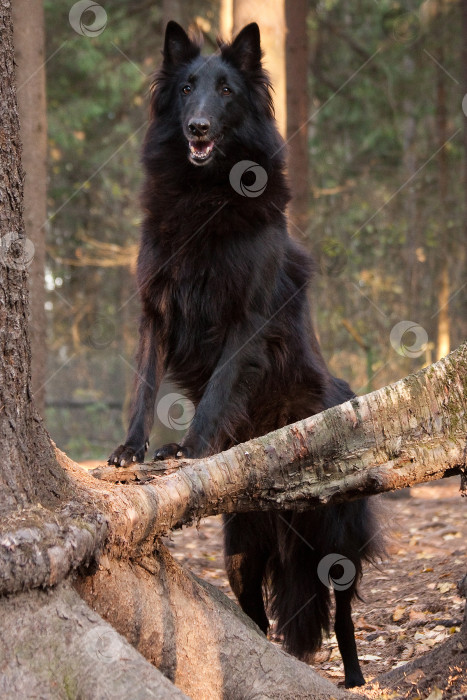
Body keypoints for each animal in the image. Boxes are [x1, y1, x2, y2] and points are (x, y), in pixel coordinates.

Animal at [110, 21, 384, 688]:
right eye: (187, 88)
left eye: (227, 91)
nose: (196, 128)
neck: (204, 193)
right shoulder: (155, 310)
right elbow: (143, 386)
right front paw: (132, 450)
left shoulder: (246, 319)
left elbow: (216, 389)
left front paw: (191, 447)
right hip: (240, 548)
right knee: (256, 622)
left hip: (335, 541)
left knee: (342, 612)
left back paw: (357, 681)